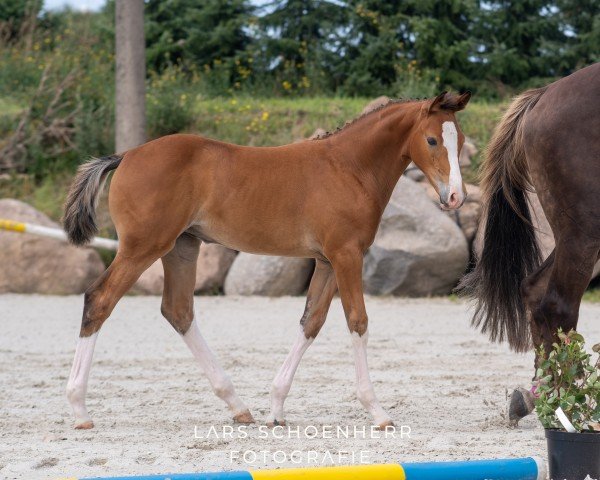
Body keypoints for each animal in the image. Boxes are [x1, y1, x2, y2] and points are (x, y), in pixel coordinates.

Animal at [63, 92, 472, 430]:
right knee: (100, 300)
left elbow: (311, 322)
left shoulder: (327, 262)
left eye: (461, 141)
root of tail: (126, 156)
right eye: (432, 140)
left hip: (182, 247)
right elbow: (357, 322)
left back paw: (238, 406)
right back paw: (79, 409)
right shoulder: (346, 255)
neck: (349, 167)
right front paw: (377, 411)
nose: (455, 197)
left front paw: (276, 408)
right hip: (143, 246)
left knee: (178, 311)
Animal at [462, 62, 596, 420]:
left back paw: (537, 393)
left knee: (535, 291)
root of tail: (543, 95)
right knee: (557, 304)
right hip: (584, 231)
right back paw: (565, 400)